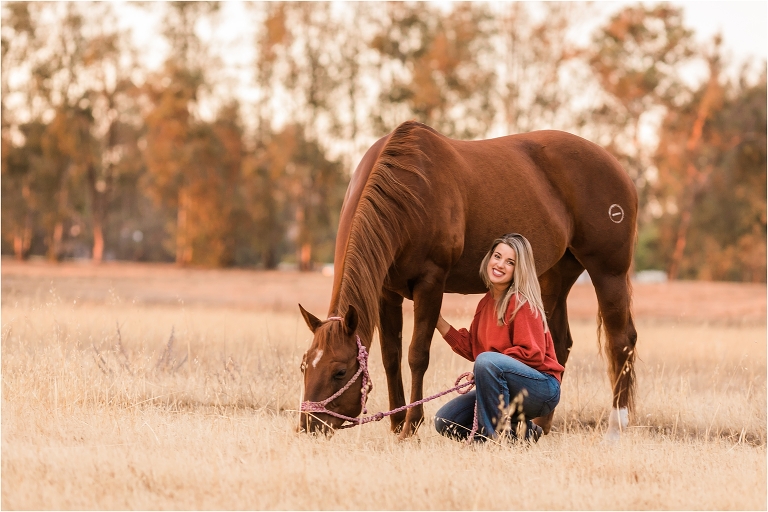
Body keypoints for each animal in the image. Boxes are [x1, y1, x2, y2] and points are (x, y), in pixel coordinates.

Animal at [298, 120, 638, 441]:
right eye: (304, 364)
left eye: (340, 371)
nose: (309, 425)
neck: (409, 187)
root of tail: (618, 168)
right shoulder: (386, 291)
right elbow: (391, 356)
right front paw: (395, 423)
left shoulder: (431, 283)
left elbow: (417, 355)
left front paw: (411, 425)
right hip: (554, 274)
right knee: (558, 343)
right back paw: (541, 424)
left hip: (608, 272)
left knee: (621, 342)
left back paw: (615, 427)